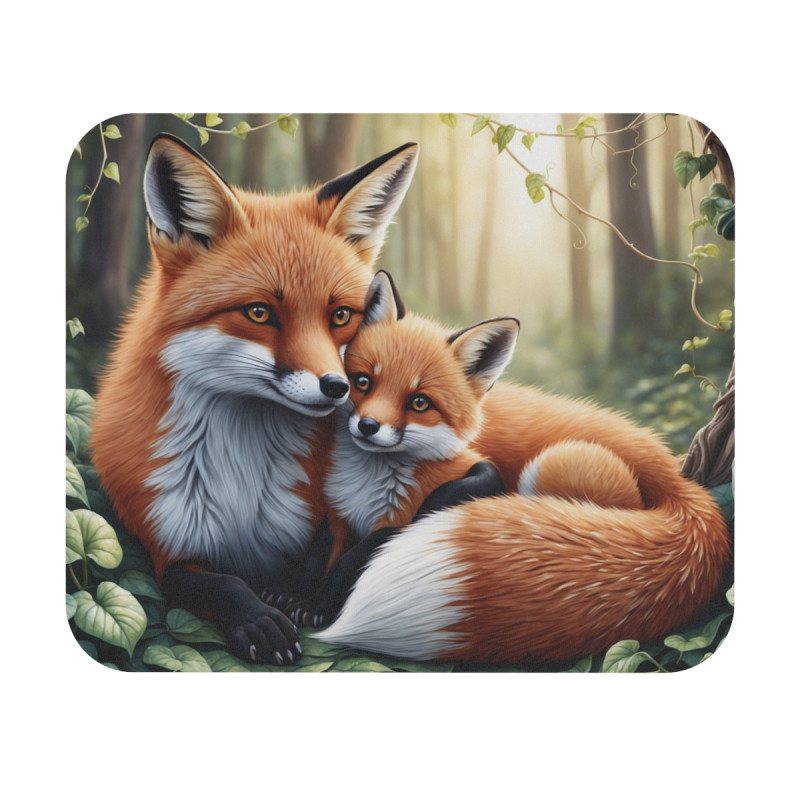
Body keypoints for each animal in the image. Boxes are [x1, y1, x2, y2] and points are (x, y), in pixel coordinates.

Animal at [90, 133, 420, 665]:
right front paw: (258, 620)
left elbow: (332, 559)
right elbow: (218, 583)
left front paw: (293, 598)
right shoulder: (166, 539)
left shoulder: (328, 519)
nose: (337, 387)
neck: (243, 477)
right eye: (260, 313)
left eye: (341, 316)